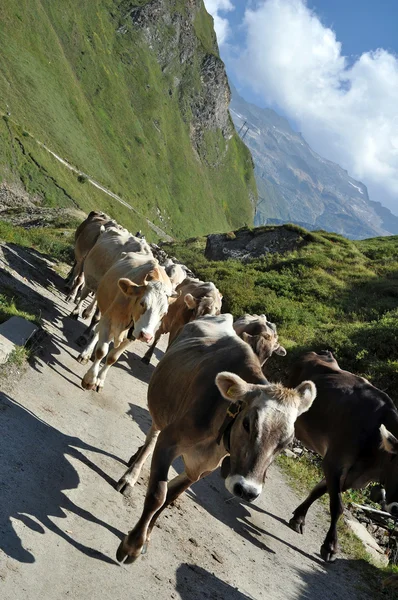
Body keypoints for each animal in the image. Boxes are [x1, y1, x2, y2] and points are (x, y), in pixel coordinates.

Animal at [79, 253, 174, 394]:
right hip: (104, 309)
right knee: (97, 331)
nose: (146, 336)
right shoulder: (108, 321)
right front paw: (90, 380)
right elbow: (101, 351)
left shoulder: (133, 335)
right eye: (142, 303)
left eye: (164, 313)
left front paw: (100, 380)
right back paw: (85, 354)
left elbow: (112, 358)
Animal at [116, 314, 318, 564]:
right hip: (163, 408)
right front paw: (132, 545)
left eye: (287, 443)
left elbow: (170, 497)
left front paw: (146, 539)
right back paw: (131, 475)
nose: (247, 490)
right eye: (247, 423)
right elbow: (157, 494)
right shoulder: (169, 441)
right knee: (152, 435)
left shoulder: (204, 467)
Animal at [288, 352, 398, 564]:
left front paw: (298, 518)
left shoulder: (351, 476)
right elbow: (337, 506)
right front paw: (330, 546)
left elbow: (318, 491)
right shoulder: (334, 462)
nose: (397, 509)